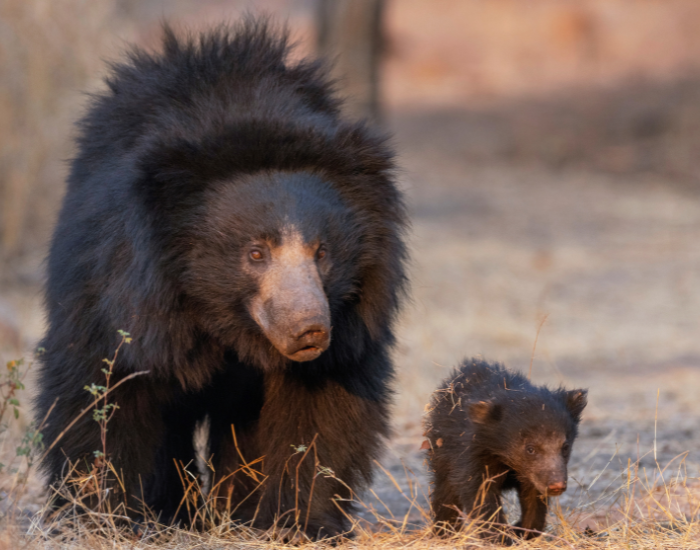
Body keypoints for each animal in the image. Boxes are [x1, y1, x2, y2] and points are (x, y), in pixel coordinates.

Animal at [35, 19, 407, 539]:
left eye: (322, 253)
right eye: (255, 253)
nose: (310, 330)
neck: (225, 321)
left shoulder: (351, 326)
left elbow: (321, 411)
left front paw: (300, 522)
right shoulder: (120, 296)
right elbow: (104, 391)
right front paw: (104, 517)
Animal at [424, 359, 587, 543]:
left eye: (565, 447)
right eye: (530, 449)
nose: (556, 485)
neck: (506, 457)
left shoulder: (533, 474)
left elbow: (534, 498)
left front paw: (521, 531)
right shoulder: (471, 453)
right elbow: (480, 492)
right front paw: (500, 538)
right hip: (441, 452)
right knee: (445, 492)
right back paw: (444, 533)